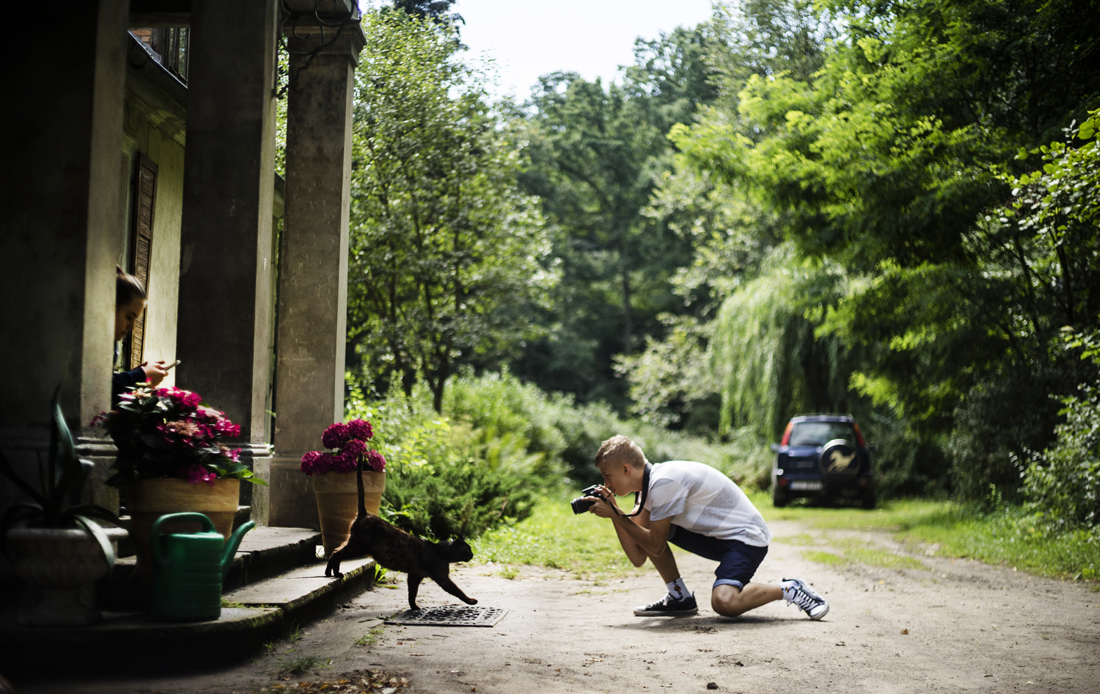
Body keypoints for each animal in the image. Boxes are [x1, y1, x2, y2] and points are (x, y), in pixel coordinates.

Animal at [321, 464, 477, 611]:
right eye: (467, 550)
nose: (473, 555)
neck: (442, 552)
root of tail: (365, 514)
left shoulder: (414, 575)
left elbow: (412, 594)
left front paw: (414, 607)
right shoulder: (442, 578)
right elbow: (458, 591)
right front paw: (471, 601)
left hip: (352, 543)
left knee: (335, 550)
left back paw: (329, 573)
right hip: (358, 547)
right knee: (337, 553)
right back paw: (336, 573)